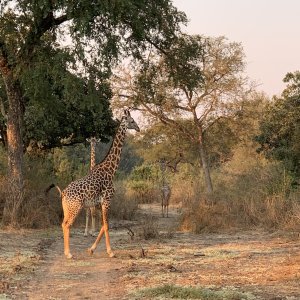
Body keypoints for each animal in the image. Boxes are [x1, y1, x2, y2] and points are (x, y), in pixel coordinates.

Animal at [46, 109, 140, 258]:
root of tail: (64, 193)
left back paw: (67, 252)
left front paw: (91, 249)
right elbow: (106, 225)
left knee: (63, 223)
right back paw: (69, 254)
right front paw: (110, 252)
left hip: (67, 208)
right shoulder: (107, 200)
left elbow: (103, 224)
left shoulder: (100, 203)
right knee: (67, 225)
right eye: (131, 121)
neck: (110, 170)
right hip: (76, 207)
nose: (138, 128)